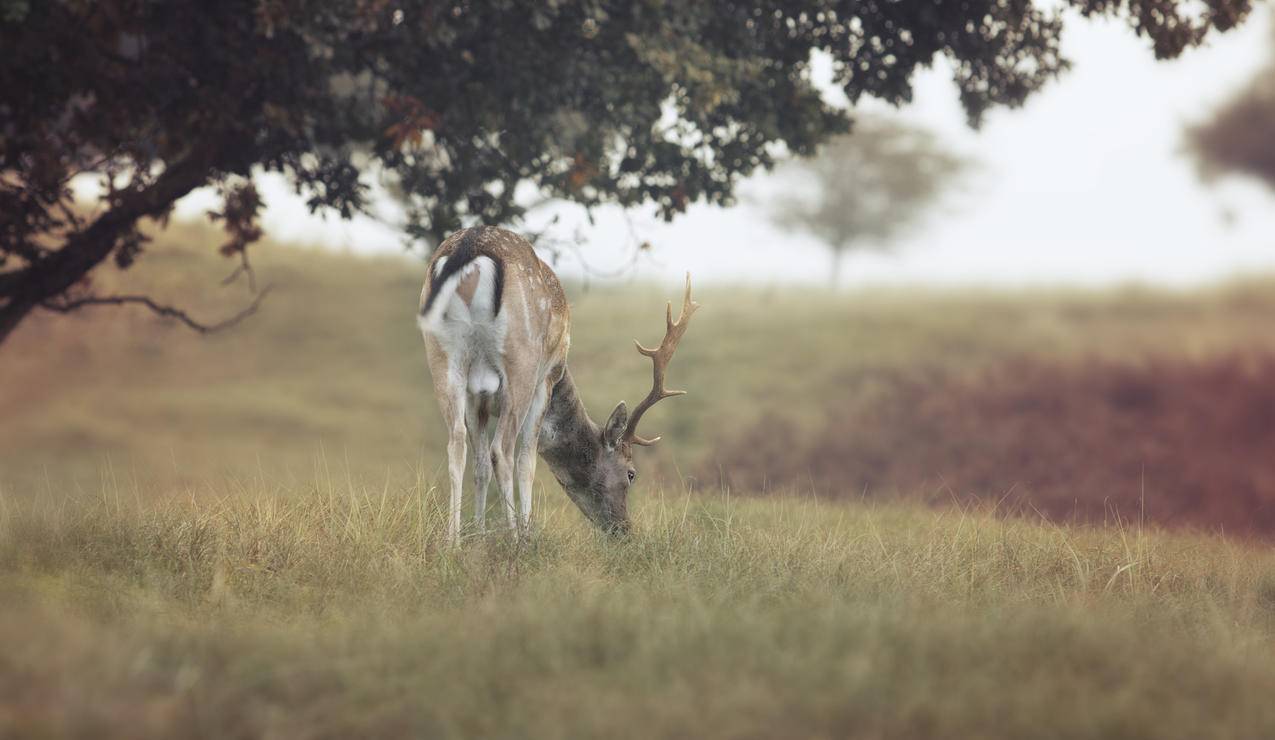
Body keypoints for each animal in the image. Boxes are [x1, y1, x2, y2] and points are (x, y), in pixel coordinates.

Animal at [415, 225, 698, 543]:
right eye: (631, 473)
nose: (625, 530)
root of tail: (470, 247)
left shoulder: (478, 399)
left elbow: (480, 467)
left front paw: (479, 536)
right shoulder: (546, 381)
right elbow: (527, 461)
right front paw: (524, 534)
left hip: (442, 356)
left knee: (456, 443)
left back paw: (452, 542)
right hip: (521, 362)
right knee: (502, 451)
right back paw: (514, 539)